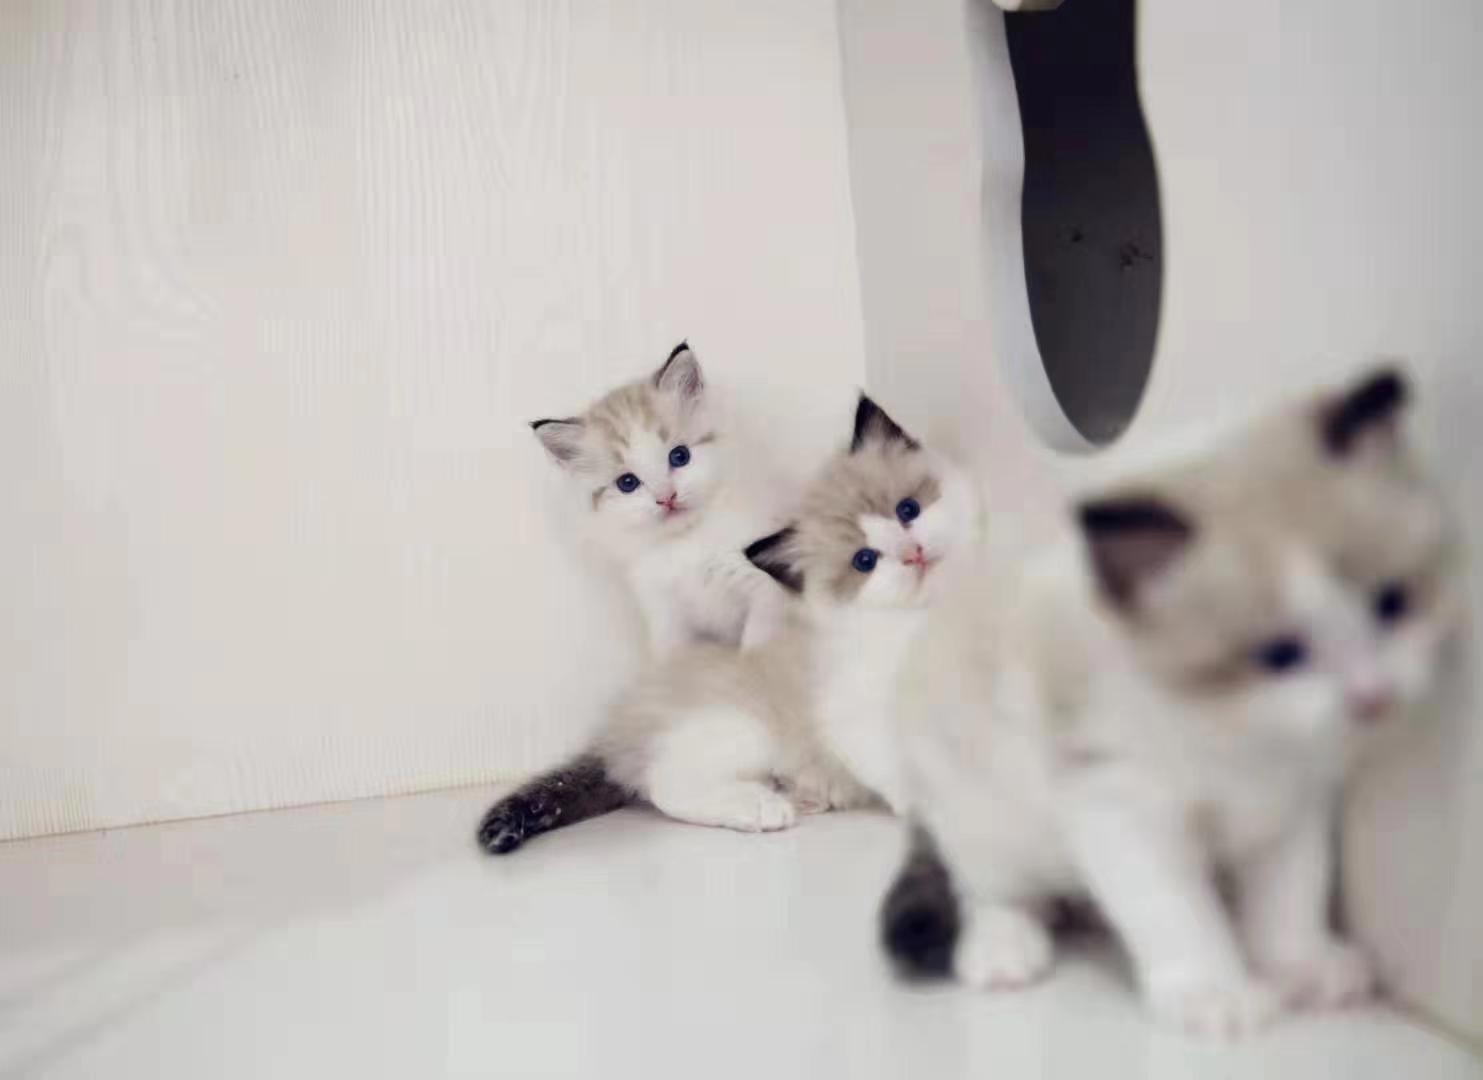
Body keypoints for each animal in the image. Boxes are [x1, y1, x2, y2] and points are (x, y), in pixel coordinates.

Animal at [477, 394, 979, 852]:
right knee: (664, 783)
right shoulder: (852, 713)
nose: (912, 553)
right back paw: (761, 806)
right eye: (865, 560)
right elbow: (900, 767)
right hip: (741, 729)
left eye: (908, 510)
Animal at [531, 341, 787, 655]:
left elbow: (758, 645)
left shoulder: (767, 591)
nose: (667, 498)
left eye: (679, 456)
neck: (685, 544)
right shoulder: (667, 616)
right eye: (627, 483)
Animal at [883, 367, 1461, 1038]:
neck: (1231, 732)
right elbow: (1176, 911)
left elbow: (1291, 898)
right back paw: (1007, 948)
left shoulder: (1294, 806)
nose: (1373, 697)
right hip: (986, 821)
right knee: (983, 887)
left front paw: (1303, 965)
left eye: (1390, 604)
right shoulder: (1119, 808)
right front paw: (1215, 992)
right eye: (1279, 655)